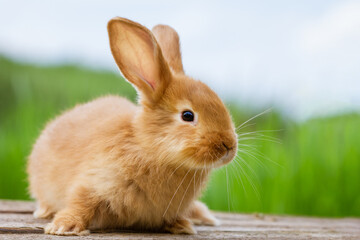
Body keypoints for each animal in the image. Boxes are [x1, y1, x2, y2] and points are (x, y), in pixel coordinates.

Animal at [27, 17, 236, 236]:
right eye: (187, 115)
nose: (229, 146)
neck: (151, 149)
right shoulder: (93, 182)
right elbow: (81, 203)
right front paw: (64, 227)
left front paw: (182, 226)